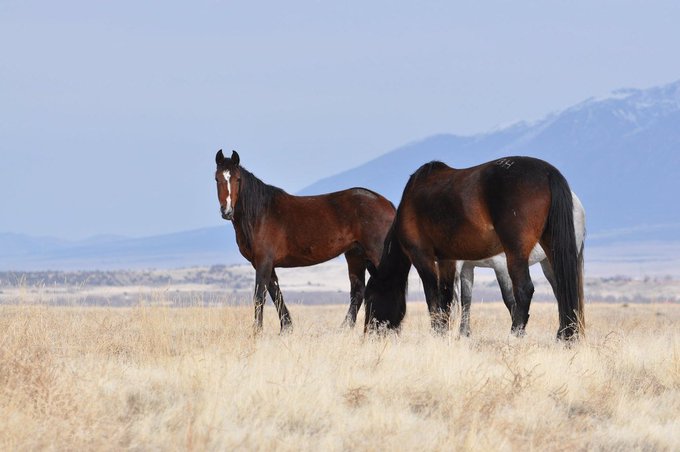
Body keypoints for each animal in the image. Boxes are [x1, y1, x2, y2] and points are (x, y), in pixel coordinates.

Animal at [215, 150, 396, 333]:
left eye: (237, 179)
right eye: (217, 178)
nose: (227, 211)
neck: (261, 214)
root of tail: (386, 203)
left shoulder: (263, 261)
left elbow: (260, 296)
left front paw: (257, 331)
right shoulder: (265, 264)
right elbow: (276, 294)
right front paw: (286, 328)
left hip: (376, 253)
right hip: (355, 255)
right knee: (358, 291)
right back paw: (344, 329)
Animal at [456, 193, 586, 336]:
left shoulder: (501, 266)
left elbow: (509, 299)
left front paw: (519, 332)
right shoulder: (467, 267)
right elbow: (466, 299)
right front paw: (463, 333)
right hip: (547, 263)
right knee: (560, 291)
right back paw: (562, 332)